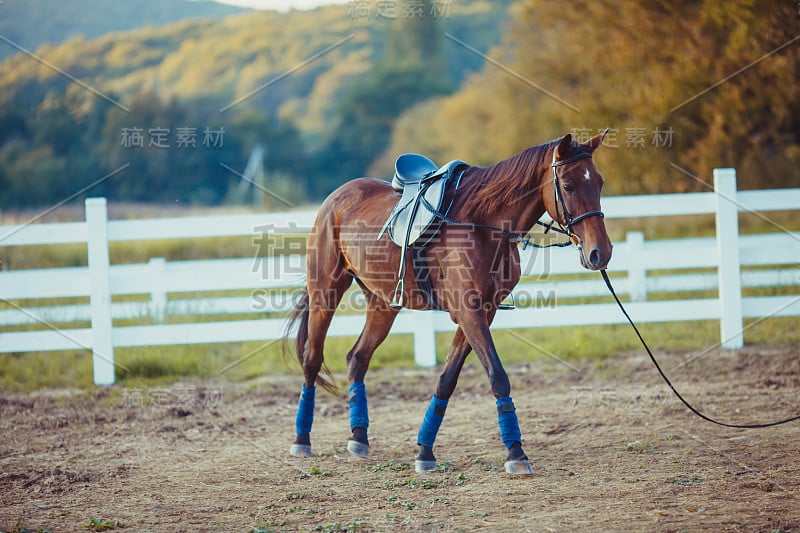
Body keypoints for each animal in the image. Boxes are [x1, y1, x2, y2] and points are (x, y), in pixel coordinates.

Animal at [288, 132, 612, 474]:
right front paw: (516, 452)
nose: (600, 253)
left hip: (383, 303)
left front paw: (425, 451)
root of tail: (336, 198)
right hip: (326, 292)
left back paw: (359, 436)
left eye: (599, 182)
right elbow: (498, 376)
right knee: (312, 359)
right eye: (569, 186)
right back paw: (302, 439)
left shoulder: (483, 312)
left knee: (357, 358)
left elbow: (447, 379)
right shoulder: (469, 313)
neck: (482, 223)